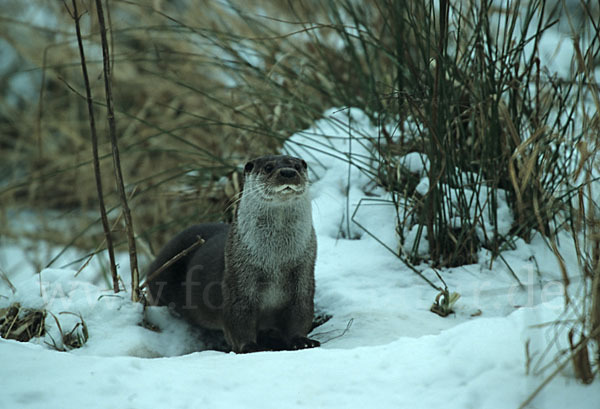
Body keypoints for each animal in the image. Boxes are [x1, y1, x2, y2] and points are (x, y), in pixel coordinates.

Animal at [145, 155, 318, 352]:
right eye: (268, 167)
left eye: (298, 166)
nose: (288, 173)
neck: (275, 264)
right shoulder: (238, 281)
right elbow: (238, 319)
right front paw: (250, 346)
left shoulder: (303, 277)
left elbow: (300, 314)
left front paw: (302, 340)